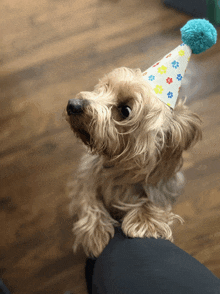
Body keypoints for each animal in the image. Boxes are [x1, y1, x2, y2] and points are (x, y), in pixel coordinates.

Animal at [65, 66, 201, 258]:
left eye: (125, 111)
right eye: (104, 87)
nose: (73, 104)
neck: (117, 164)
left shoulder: (163, 182)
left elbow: (153, 198)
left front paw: (145, 220)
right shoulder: (86, 175)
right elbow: (87, 197)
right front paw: (96, 232)